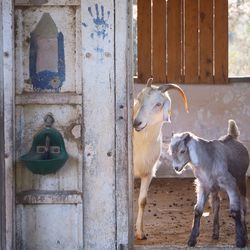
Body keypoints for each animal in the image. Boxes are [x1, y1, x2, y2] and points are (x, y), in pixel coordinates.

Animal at [133, 78, 188, 240]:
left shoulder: (148, 172)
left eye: (158, 104)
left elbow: (142, 201)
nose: (136, 123)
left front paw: (140, 232)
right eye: (139, 99)